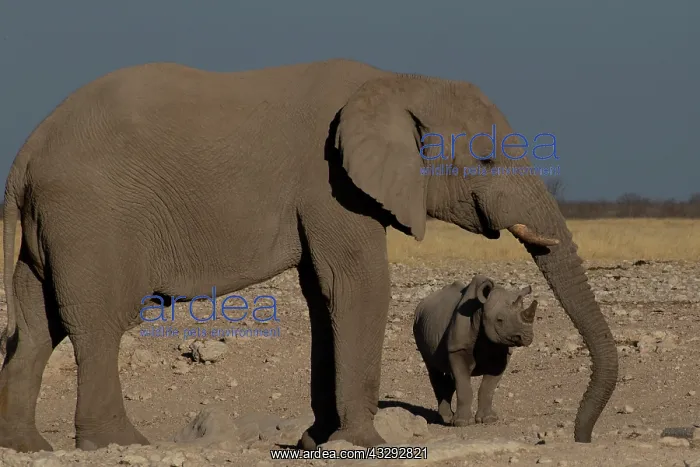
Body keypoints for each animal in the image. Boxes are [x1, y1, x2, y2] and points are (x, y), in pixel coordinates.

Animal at [413, 275, 537, 427]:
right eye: (499, 320)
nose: (527, 337)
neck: (480, 311)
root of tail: (422, 303)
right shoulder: (457, 348)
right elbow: (464, 387)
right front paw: (462, 423)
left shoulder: (502, 351)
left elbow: (488, 388)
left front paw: (488, 419)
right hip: (417, 322)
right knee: (433, 369)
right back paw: (445, 419)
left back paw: (447, 418)